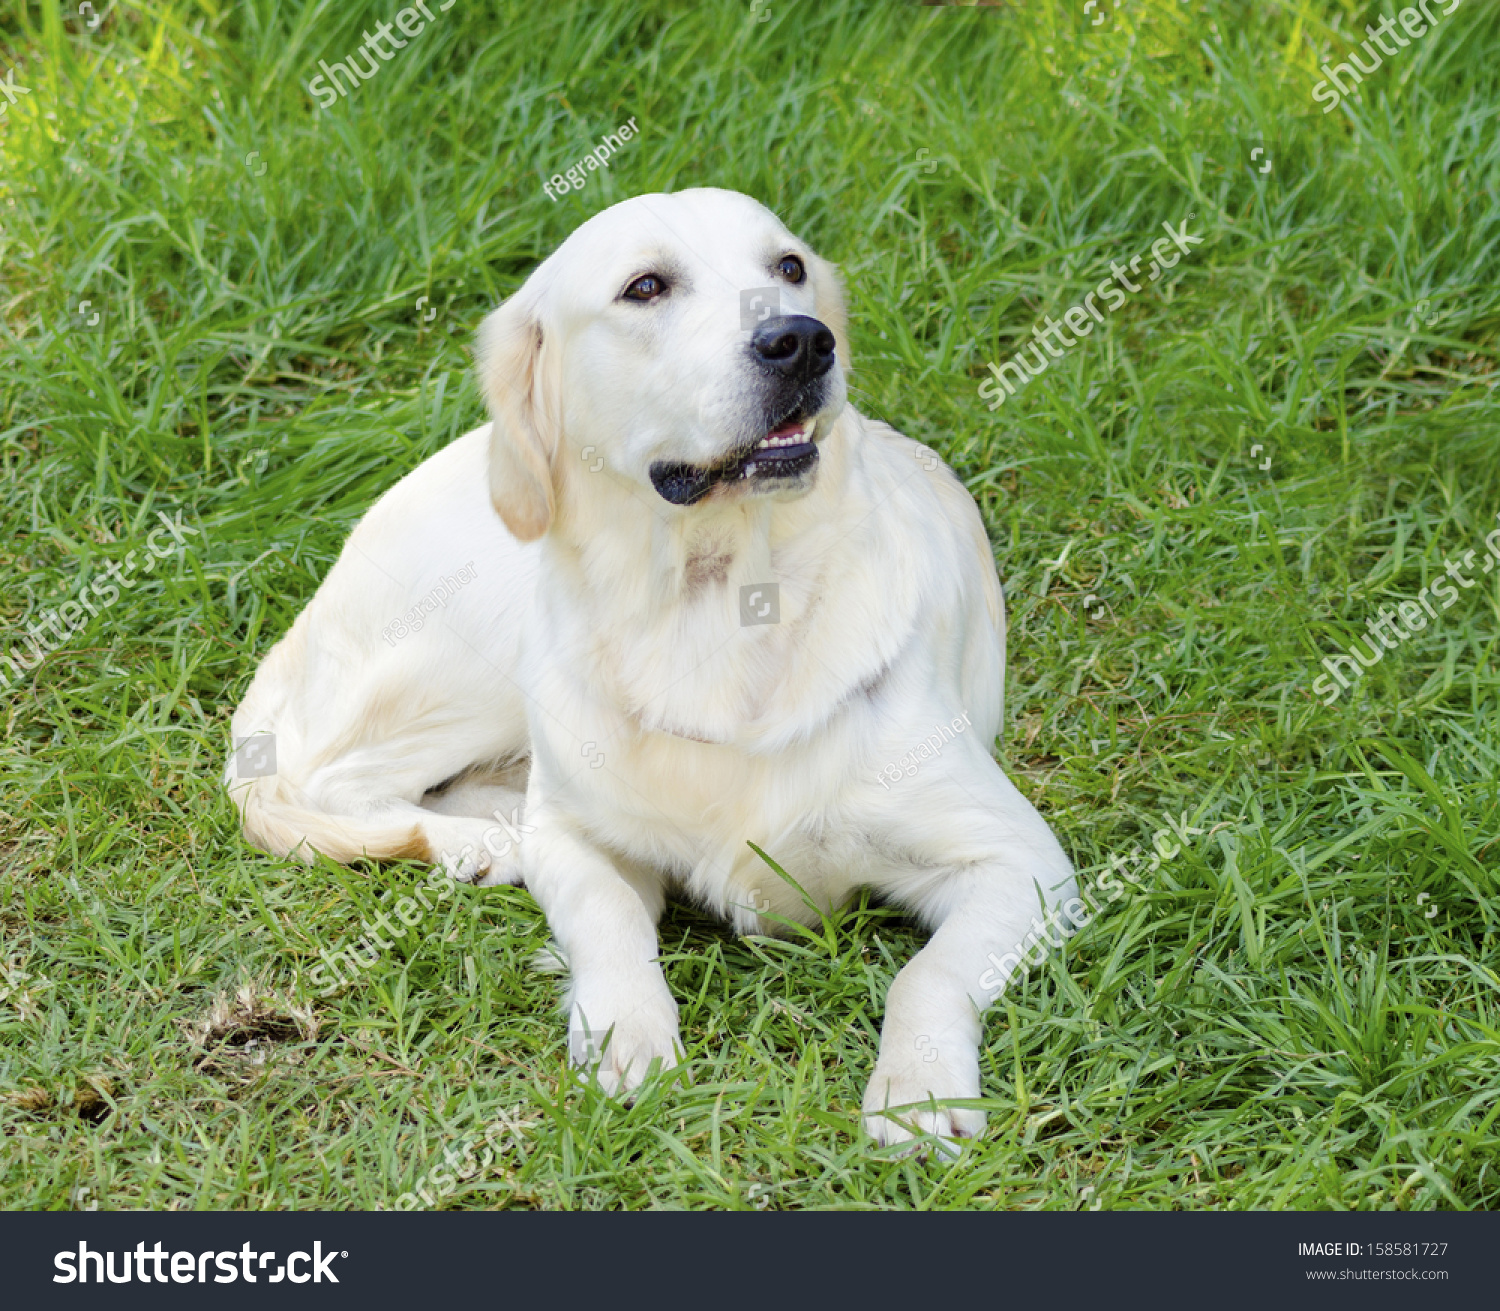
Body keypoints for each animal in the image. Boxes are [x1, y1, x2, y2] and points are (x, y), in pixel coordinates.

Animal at [225, 183, 1080, 1146]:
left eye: (789, 267)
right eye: (645, 287)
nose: (800, 339)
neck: (722, 600)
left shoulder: (1018, 861)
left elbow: (925, 973)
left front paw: (919, 1086)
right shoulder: (581, 841)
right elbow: (605, 924)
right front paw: (625, 1032)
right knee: (332, 780)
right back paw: (480, 842)